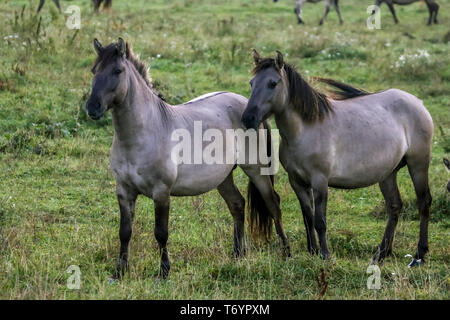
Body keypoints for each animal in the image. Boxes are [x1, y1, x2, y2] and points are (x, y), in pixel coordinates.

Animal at [86, 37, 290, 278]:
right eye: (94, 70)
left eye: (117, 71)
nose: (92, 107)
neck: (142, 134)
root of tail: (251, 109)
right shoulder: (124, 191)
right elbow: (125, 231)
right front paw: (119, 272)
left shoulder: (161, 192)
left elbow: (161, 232)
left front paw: (164, 272)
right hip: (223, 177)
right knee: (237, 204)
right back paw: (238, 254)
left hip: (256, 170)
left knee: (273, 203)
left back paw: (286, 252)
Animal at [241, 50, 434, 268]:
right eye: (252, 83)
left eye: (273, 83)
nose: (248, 118)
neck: (305, 130)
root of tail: (417, 102)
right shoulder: (297, 182)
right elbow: (308, 217)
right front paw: (312, 251)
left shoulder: (320, 181)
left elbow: (320, 221)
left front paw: (325, 255)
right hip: (388, 173)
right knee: (394, 206)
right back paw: (381, 254)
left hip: (418, 164)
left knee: (423, 202)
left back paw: (419, 255)